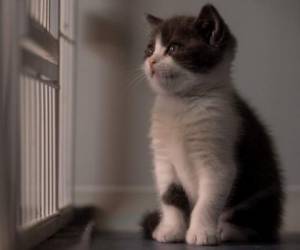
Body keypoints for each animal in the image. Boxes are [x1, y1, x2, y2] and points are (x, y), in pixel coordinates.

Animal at [141, 3, 284, 246]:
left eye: (173, 48)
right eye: (150, 50)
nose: (151, 62)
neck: (181, 103)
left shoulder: (218, 158)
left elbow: (207, 201)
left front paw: (201, 232)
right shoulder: (163, 159)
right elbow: (170, 196)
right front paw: (171, 229)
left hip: (260, 197)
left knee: (256, 227)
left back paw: (225, 230)